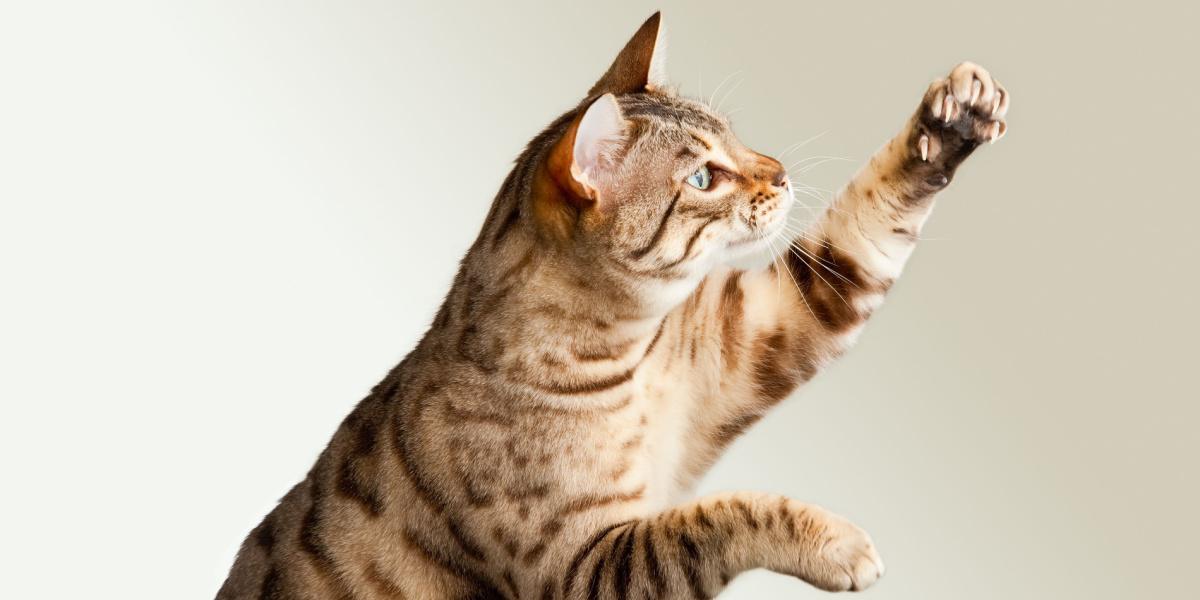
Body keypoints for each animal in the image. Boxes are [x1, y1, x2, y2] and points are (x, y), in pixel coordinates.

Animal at [218, 10, 1012, 600]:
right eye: (703, 176)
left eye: (733, 136)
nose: (781, 172)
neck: (632, 353)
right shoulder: (585, 567)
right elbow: (718, 516)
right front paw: (836, 543)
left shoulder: (759, 328)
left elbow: (864, 230)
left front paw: (952, 122)